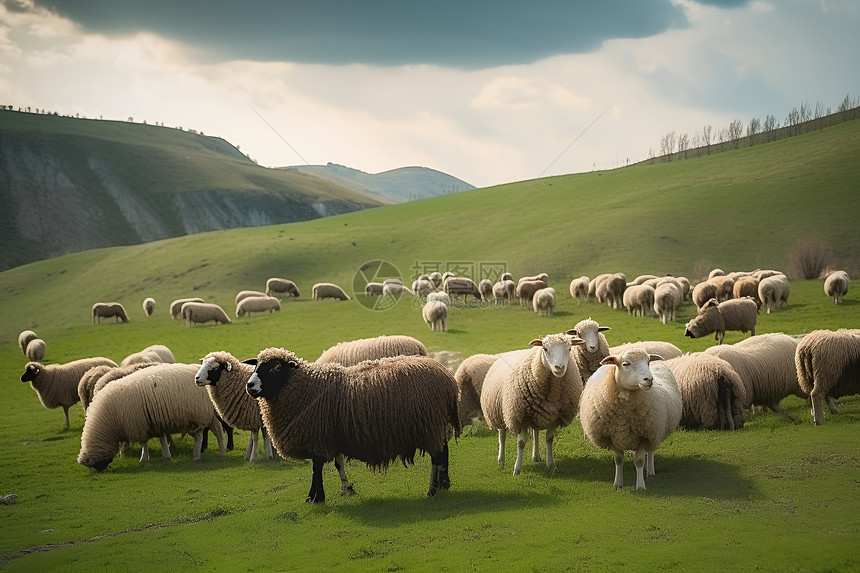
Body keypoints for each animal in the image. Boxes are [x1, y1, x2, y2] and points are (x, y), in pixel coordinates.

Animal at [77, 362, 227, 470]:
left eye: (91, 463)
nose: (96, 473)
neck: (110, 421)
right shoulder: (152, 422)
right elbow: (157, 439)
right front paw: (162, 456)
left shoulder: (137, 424)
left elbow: (144, 442)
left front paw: (143, 458)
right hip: (199, 416)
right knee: (203, 434)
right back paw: (199, 455)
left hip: (203, 413)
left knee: (216, 432)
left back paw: (220, 453)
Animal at [245, 344, 460, 500]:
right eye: (255, 366)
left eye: (276, 367)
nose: (250, 385)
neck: (307, 387)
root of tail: (448, 379)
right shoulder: (331, 436)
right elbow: (338, 464)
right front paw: (345, 489)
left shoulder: (317, 438)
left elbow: (316, 468)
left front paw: (315, 497)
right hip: (434, 423)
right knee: (444, 452)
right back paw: (444, 485)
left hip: (429, 424)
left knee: (437, 456)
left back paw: (432, 490)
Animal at [478, 330, 584, 474]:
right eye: (545, 349)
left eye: (569, 349)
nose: (559, 367)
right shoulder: (520, 416)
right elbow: (521, 443)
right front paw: (517, 469)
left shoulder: (556, 416)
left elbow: (549, 439)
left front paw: (551, 465)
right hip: (498, 411)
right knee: (502, 435)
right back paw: (501, 460)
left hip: (535, 413)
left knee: (536, 432)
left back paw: (536, 456)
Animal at [580, 346, 680, 490]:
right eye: (626, 364)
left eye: (647, 362)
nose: (649, 380)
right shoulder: (611, 437)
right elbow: (618, 460)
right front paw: (617, 484)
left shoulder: (644, 436)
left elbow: (639, 461)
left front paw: (640, 486)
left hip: (655, 431)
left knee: (650, 451)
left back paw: (650, 471)